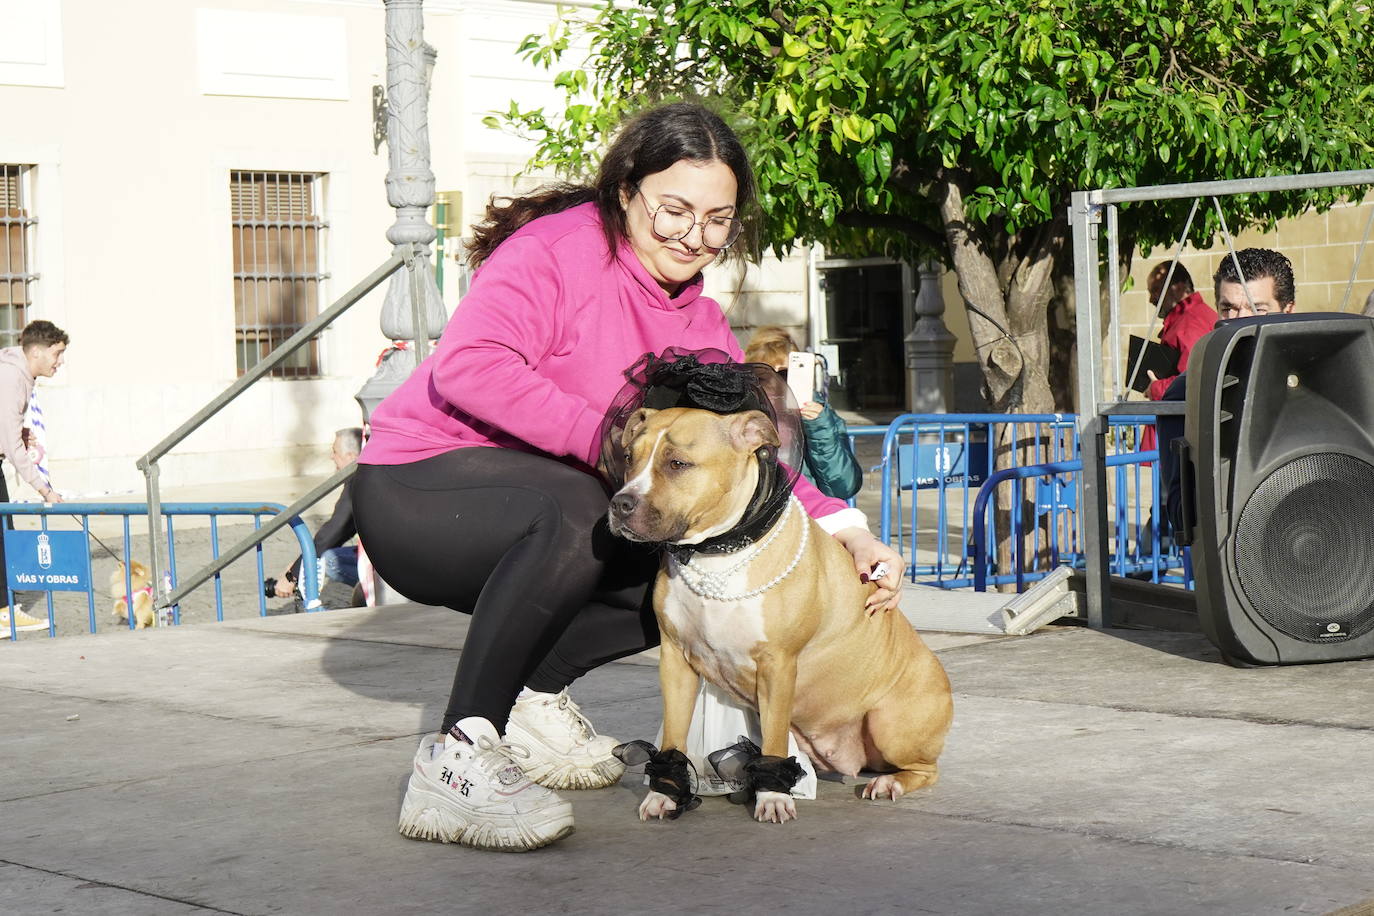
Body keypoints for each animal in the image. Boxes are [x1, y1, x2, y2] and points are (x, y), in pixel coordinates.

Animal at [607, 406, 950, 823]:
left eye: (677, 464)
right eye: (629, 458)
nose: (620, 503)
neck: (715, 551)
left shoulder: (777, 665)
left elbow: (772, 739)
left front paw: (772, 796)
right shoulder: (675, 660)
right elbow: (674, 735)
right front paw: (665, 793)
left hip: (890, 725)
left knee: (925, 769)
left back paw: (890, 784)